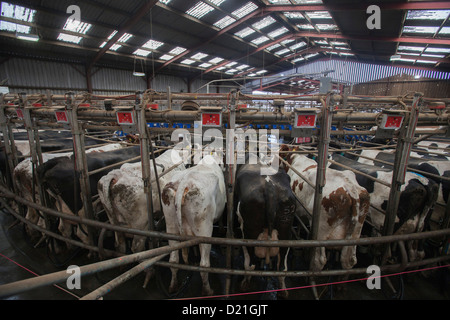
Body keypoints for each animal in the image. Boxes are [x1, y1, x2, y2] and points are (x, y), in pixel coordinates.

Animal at [234, 162, 298, 300]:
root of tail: (269, 186)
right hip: (286, 231)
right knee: (282, 267)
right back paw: (283, 291)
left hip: (248, 233)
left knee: (249, 264)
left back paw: (244, 285)